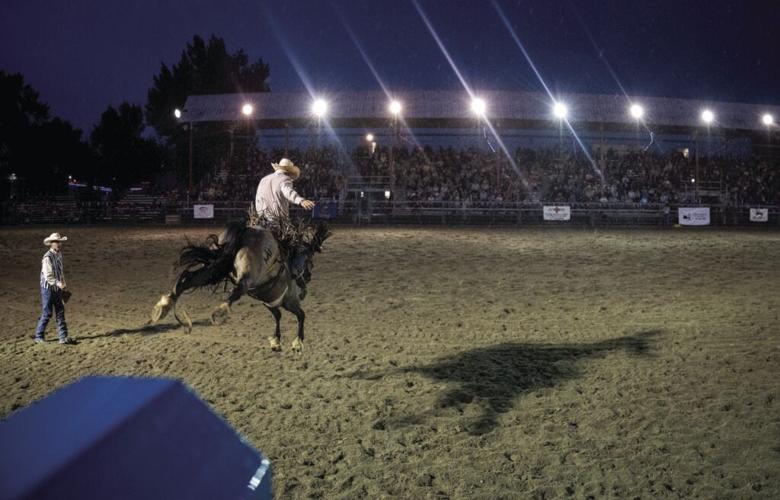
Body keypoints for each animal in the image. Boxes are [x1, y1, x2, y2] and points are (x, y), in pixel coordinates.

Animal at [149, 219, 330, 352]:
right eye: (310, 261)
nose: (307, 277)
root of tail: (247, 230)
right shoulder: (289, 302)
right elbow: (300, 315)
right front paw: (297, 342)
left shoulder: (270, 304)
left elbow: (278, 316)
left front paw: (276, 341)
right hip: (243, 275)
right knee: (238, 289)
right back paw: (219, 312)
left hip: (216, 268)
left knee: (187, 278)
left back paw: (163, 307)